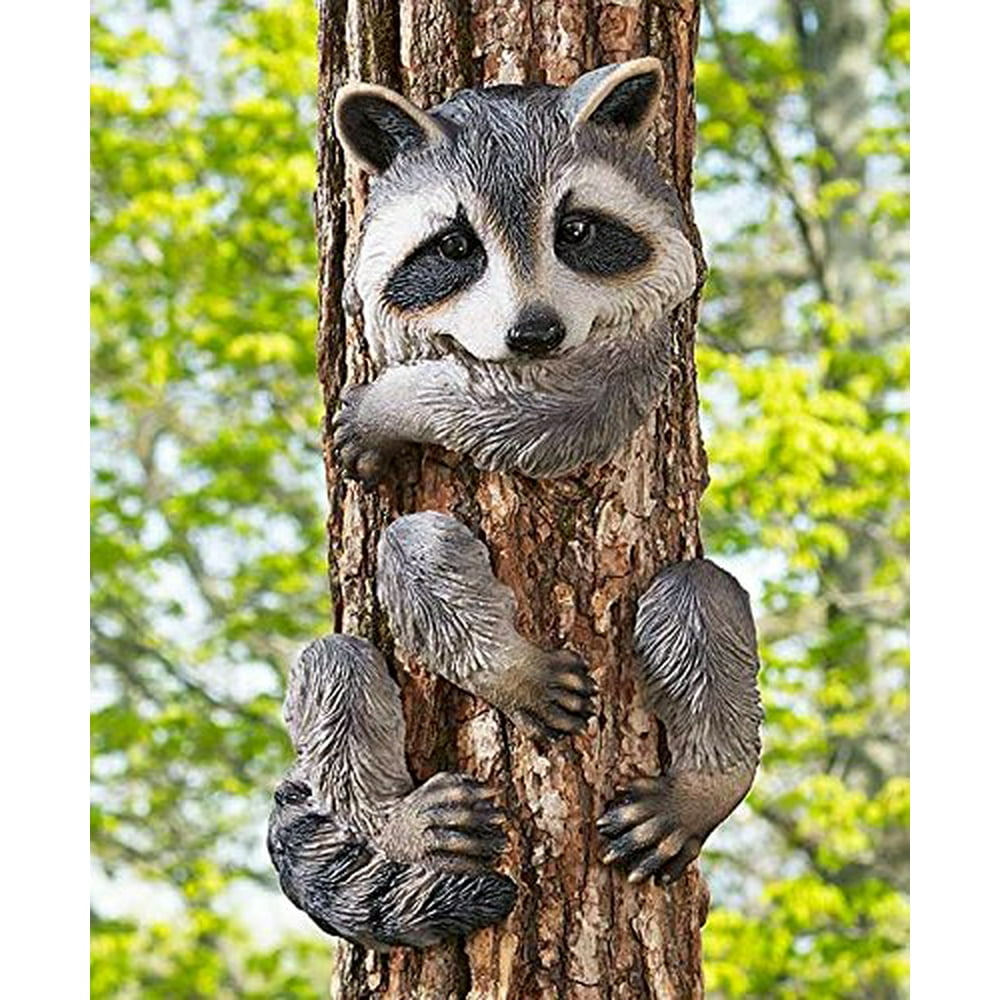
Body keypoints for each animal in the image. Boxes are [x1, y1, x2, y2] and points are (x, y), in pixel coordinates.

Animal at [332, 58, 698, 482]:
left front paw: (385, 408)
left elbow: (550, 411)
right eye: (454, 247)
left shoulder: (642, 336)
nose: (536, 335)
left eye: (575, 231)